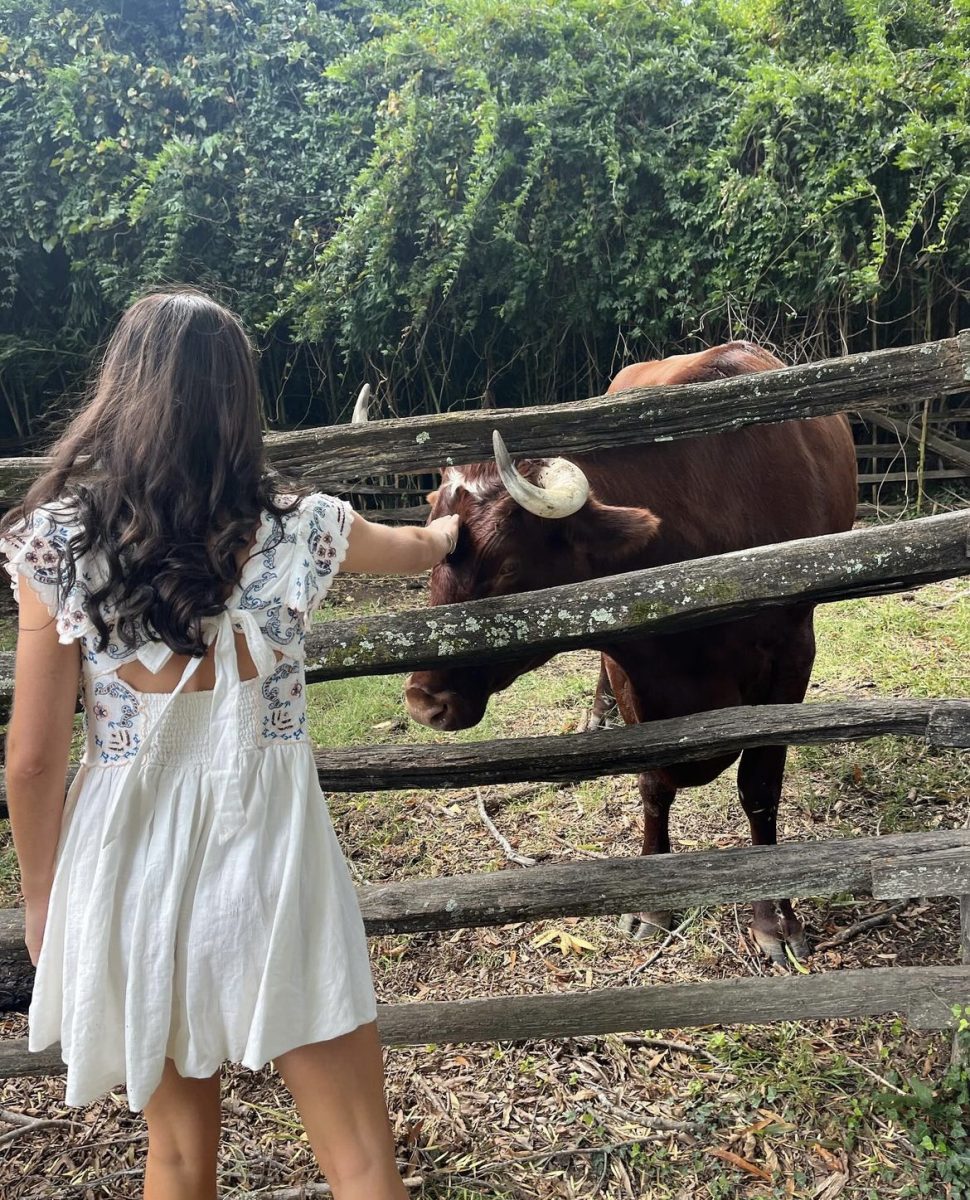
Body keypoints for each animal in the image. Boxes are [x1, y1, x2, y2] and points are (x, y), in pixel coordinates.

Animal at [400, 343, 854, 960]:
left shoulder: (791, 659)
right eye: (433, 552)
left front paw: (775, 918)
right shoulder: (630, 670)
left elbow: (759, 785)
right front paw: (652, 904)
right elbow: (652, 785)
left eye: (510, 569)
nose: (424, 702)